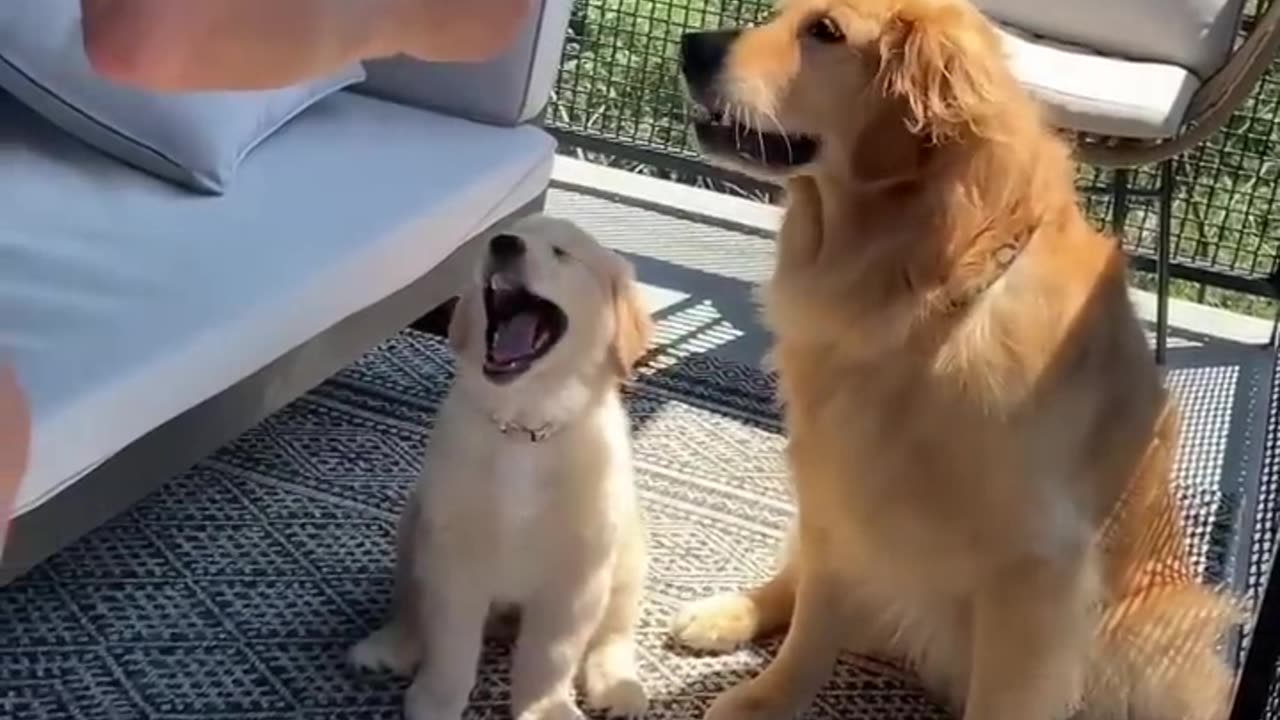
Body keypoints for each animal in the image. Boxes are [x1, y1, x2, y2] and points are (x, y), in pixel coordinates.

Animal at [348, 213, 655, 717]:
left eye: (561, 252)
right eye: (507, 232)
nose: (504, 243)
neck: (524, 429)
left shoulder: (576, 576)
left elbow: (551, 653)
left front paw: (544, 707)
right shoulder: (453, 556)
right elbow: (450, 641)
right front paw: (438, 699)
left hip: (628, 555)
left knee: (612, 634)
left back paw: (618, 686)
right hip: (415, 525)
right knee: (412, 606)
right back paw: (392, 645)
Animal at [670, 1, 1239, 717]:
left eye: (825, 32)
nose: (691, 47)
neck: (922, 301)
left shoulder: (1035, 571)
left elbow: (1002, 696)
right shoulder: (837, 487)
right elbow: (810, 630)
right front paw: (766, 698)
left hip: (1157, 645)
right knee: (794, 581)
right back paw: (722, 613)